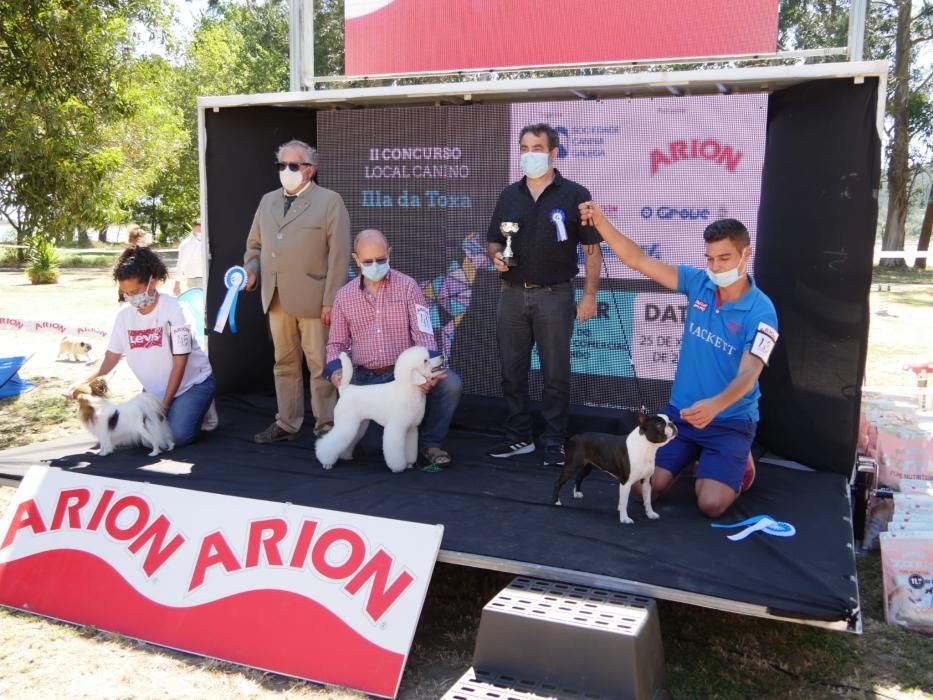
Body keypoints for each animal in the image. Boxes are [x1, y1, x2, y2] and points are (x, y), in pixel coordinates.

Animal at [312, 346, 432, 474]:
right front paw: (397, 468)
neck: (408, 388)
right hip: (346, 424)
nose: (440, 358)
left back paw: (345, 456)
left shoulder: (410, 429)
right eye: (425, 361)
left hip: (359, 425)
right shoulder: (396, 428)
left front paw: (409, 463)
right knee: (330, 442)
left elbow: (409, 449)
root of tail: (344, 389)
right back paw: (326, 462)